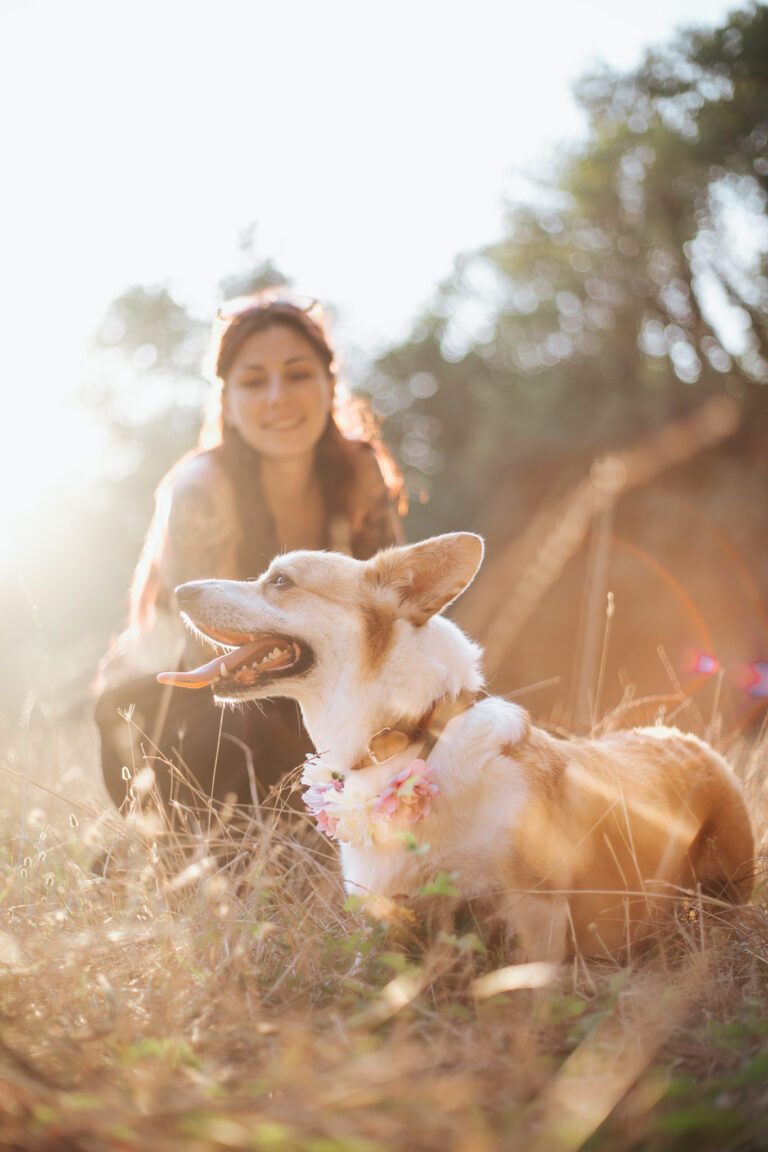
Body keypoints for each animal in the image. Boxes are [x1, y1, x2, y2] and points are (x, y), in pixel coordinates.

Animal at [158, 534, 755, 958]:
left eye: (280, 580)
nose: (177, 590)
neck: (410, 737)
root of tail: (687, 740)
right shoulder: (385, 915)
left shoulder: (536, 910)